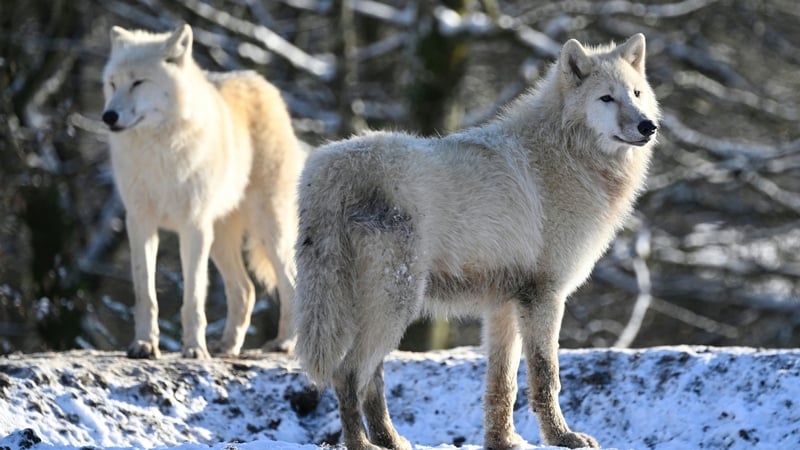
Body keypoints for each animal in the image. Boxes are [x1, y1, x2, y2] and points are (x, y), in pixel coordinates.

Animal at [101, 25, 305, 359]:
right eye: (113, 83)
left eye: (138, 82)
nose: (108, 116)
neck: (159, 153)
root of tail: (263, 84)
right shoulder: (140, 222)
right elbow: (145, 293)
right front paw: (144, 344)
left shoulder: (192, 227)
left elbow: (194, 297)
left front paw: (194, 349)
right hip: (220, 238)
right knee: (246, 290)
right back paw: (227, 347)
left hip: (267, 228)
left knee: (291, 282)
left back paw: (284, 343)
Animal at [295, 33, 658, 449]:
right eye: (606, 98)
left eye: (636, 93)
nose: (648, 126)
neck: (566, 157)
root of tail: (328, 167)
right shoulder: (545, 296)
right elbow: (546, 376)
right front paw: (562, 437)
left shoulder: (503, 306)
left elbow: (502, 385)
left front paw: (503, 442)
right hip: (395, 306)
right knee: (348, 374)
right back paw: (362, 444)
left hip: (379, 309)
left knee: (371, 381)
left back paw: (392, 441)